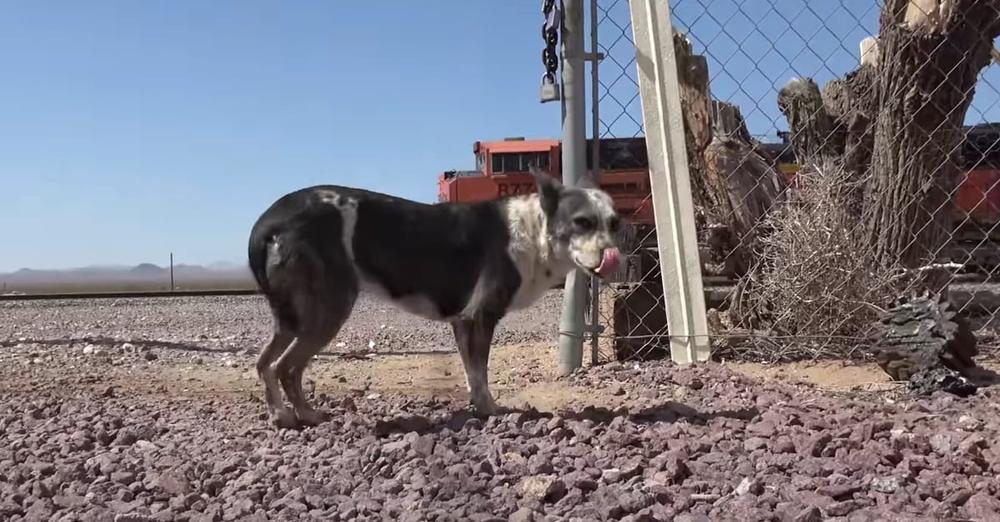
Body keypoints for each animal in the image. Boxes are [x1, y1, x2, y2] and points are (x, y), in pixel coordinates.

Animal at [247, 167, 620, 426]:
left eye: (614, 224)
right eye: (582, 222)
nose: (614, 257)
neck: (534, 229)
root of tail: (272, 217)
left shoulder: (462, 323)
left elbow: (472, 373)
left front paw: (478, 406)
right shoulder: (480, 317)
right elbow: (481, 373)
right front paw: (490, 410)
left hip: (295, 318)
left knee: (265, 363)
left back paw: (281, 415)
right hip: (329, 310)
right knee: (286, 368)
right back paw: (307, 414)